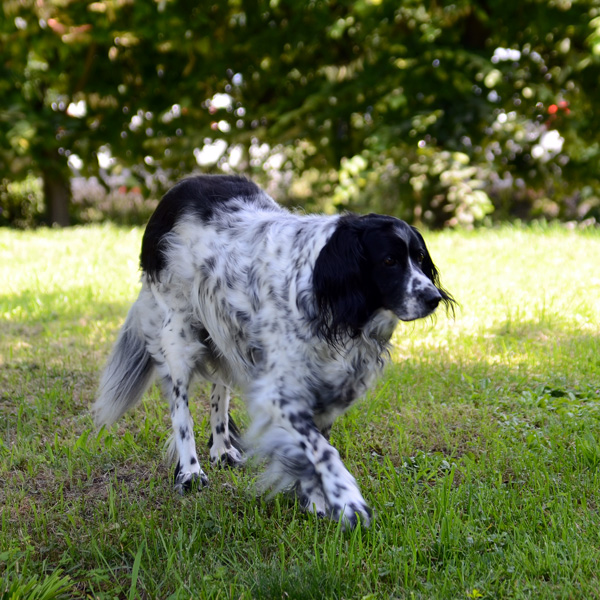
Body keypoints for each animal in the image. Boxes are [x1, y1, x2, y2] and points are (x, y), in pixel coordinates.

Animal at [91, 175, 452, 528]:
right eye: (389, 261)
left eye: (420, 258)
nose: (433, 298)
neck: (322, 293)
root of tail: (181, 188)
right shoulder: (281, 392)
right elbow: (323, 451)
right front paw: (347, 501)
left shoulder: (324, 388)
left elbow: (314, 447)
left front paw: (317, 501)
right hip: (178, 334)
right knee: (181, 410)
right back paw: (191, 471)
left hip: (225, 333)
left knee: (219, 392)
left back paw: (221, 450)